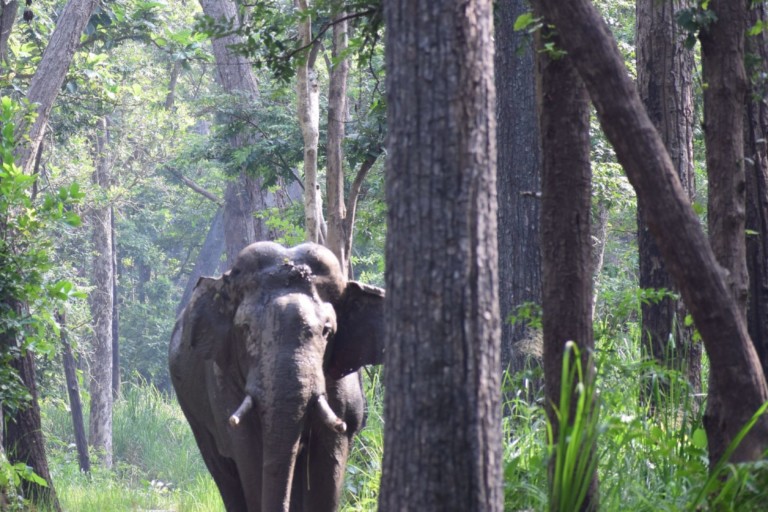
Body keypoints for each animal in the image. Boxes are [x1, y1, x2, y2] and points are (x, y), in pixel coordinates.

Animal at [168, 241, 384, 512]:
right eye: (246, 329)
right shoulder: (225, 384)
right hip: (194, 413)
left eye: (327, 331)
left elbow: (329, 461)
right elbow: (250, 454)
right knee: (222, 469)